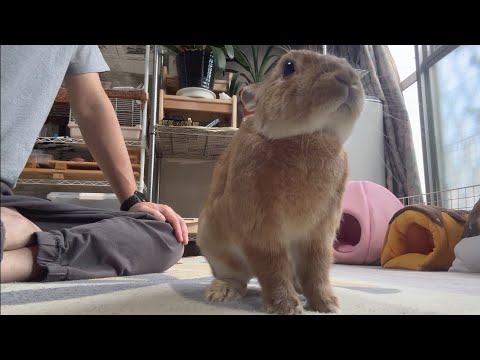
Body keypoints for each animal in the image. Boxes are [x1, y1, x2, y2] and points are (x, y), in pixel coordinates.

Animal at [195, 49, 364, 314]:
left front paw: (327, 304)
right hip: (218, 248)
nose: (348, 78)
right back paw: (222, 291)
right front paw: (287, 306)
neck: (308, 136)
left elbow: (317, 269)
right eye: (288, 67)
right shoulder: (260, 229)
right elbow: (273, 268)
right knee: (239, 278)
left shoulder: (319, 235)